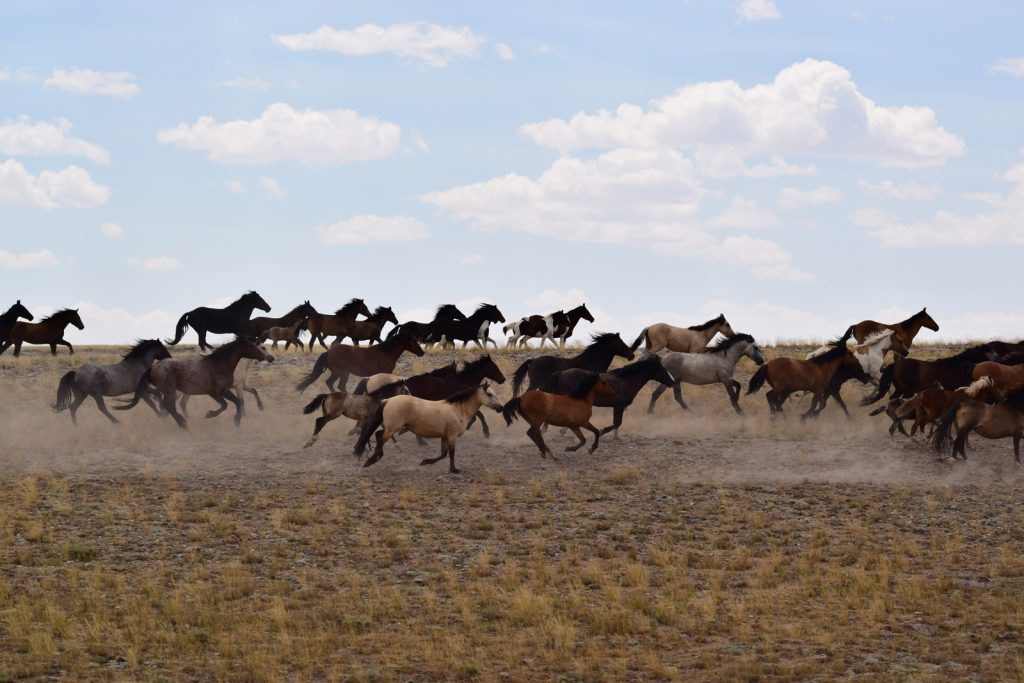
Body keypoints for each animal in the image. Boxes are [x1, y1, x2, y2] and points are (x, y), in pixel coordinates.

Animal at [117, 339, 272, 428]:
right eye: (260, 347)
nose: (271, 358)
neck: (220, 364)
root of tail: (153, 368)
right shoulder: (221, 390)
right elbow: (236, 402)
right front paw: (236, 420)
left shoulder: (215, 393)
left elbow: (226, 404)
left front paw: (211, 414)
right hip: (170, 390)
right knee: (169, 406)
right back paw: (183, 424)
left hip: (169, 391)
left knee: (168, 406)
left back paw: (181, 421)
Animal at [295, 328, 425, 393]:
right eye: (414, 340)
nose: (422, 352)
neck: (386, 352)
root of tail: (328, 352)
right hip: (342, 373)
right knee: (336, 384)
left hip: (340, 373)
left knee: (333, 384)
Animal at [356, 382, 505, 474]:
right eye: (489, 394)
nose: (501, 408)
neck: (458, 410)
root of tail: (387, 400)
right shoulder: (452, 436)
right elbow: (451, 453)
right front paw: (454, 470)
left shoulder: (444, 436)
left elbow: (443, 454)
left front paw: (425, 461)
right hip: (393, 428)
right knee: (381, 439)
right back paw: (370, 461)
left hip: (390, 427)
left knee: (378, 435)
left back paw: (376, 458)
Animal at [542, 354, 675, 435]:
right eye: (663, 368)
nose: (672, 381)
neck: (626, 380)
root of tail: (561, 373)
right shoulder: (619, 406)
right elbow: (617, 422)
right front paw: (602, 431)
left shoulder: (618, 407)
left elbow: (617, 422)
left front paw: (616, 436)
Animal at [861, 344, 1000, 406]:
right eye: (988, 352)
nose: (998, 359)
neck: (957, 365)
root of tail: (893, 365)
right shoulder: (952, 388)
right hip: (906, 390)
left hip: (902, 389)